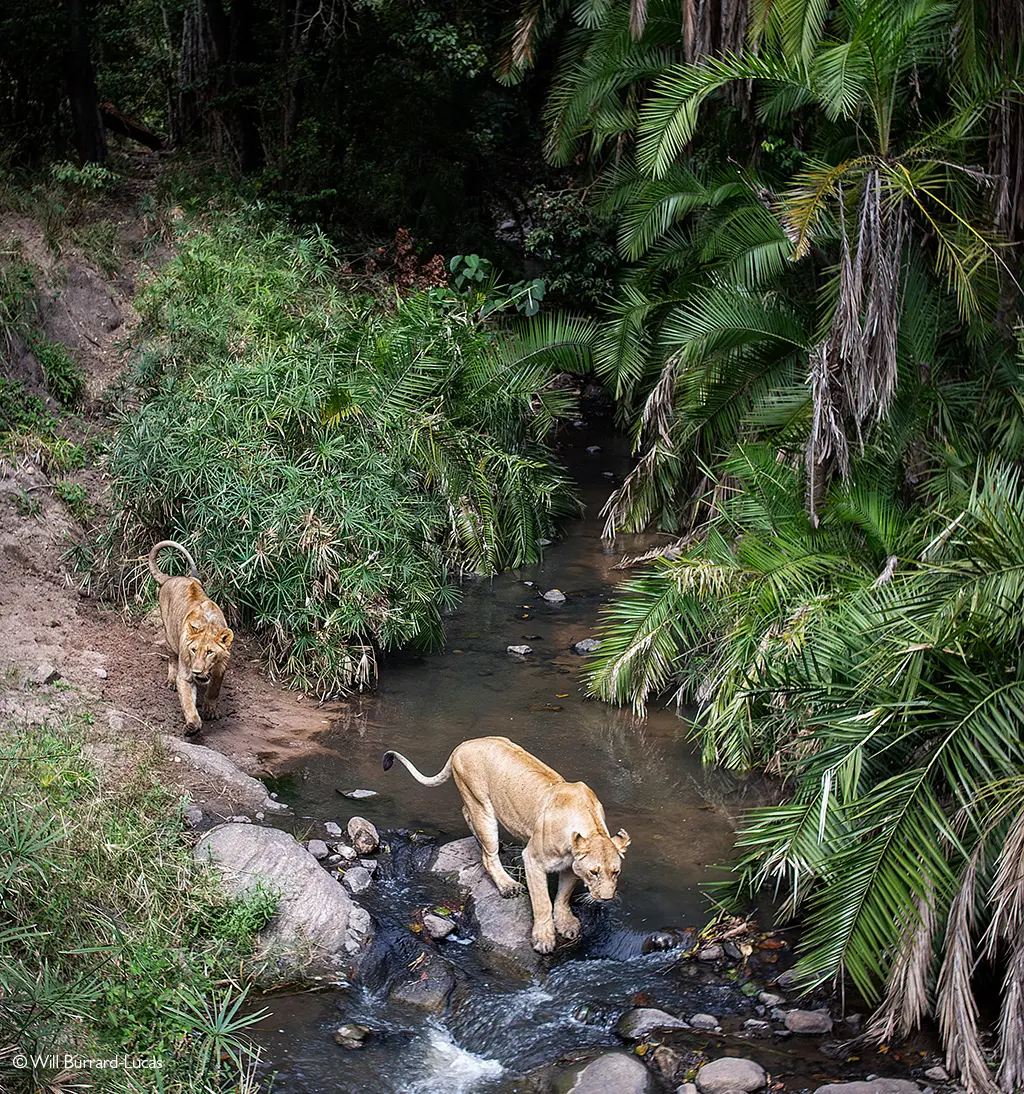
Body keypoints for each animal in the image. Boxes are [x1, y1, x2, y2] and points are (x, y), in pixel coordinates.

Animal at [148, 540, 233, 736]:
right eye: (194, 650)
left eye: (210, 652)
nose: (196, 671)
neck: (208, 625)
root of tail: (171, 578)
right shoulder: (186, 674)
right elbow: (187, 702)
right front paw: (192, 725)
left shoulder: (221, 667)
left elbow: (214, 689)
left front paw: (210, 710)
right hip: (170, 636)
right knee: (172, 659)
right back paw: (171, 681)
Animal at [383, 736, 629, 953]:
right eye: (594, 872)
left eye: (615, 872)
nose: (606, 898)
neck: (591, 825)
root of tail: (462, 745)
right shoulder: (533, 859)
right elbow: (543, 901)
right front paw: (543, 939)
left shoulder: (570, 865)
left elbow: (563, 896)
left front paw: (567, 924)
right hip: (482, 807)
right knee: (487, 853)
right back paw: (507, 885)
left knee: (466, 813)